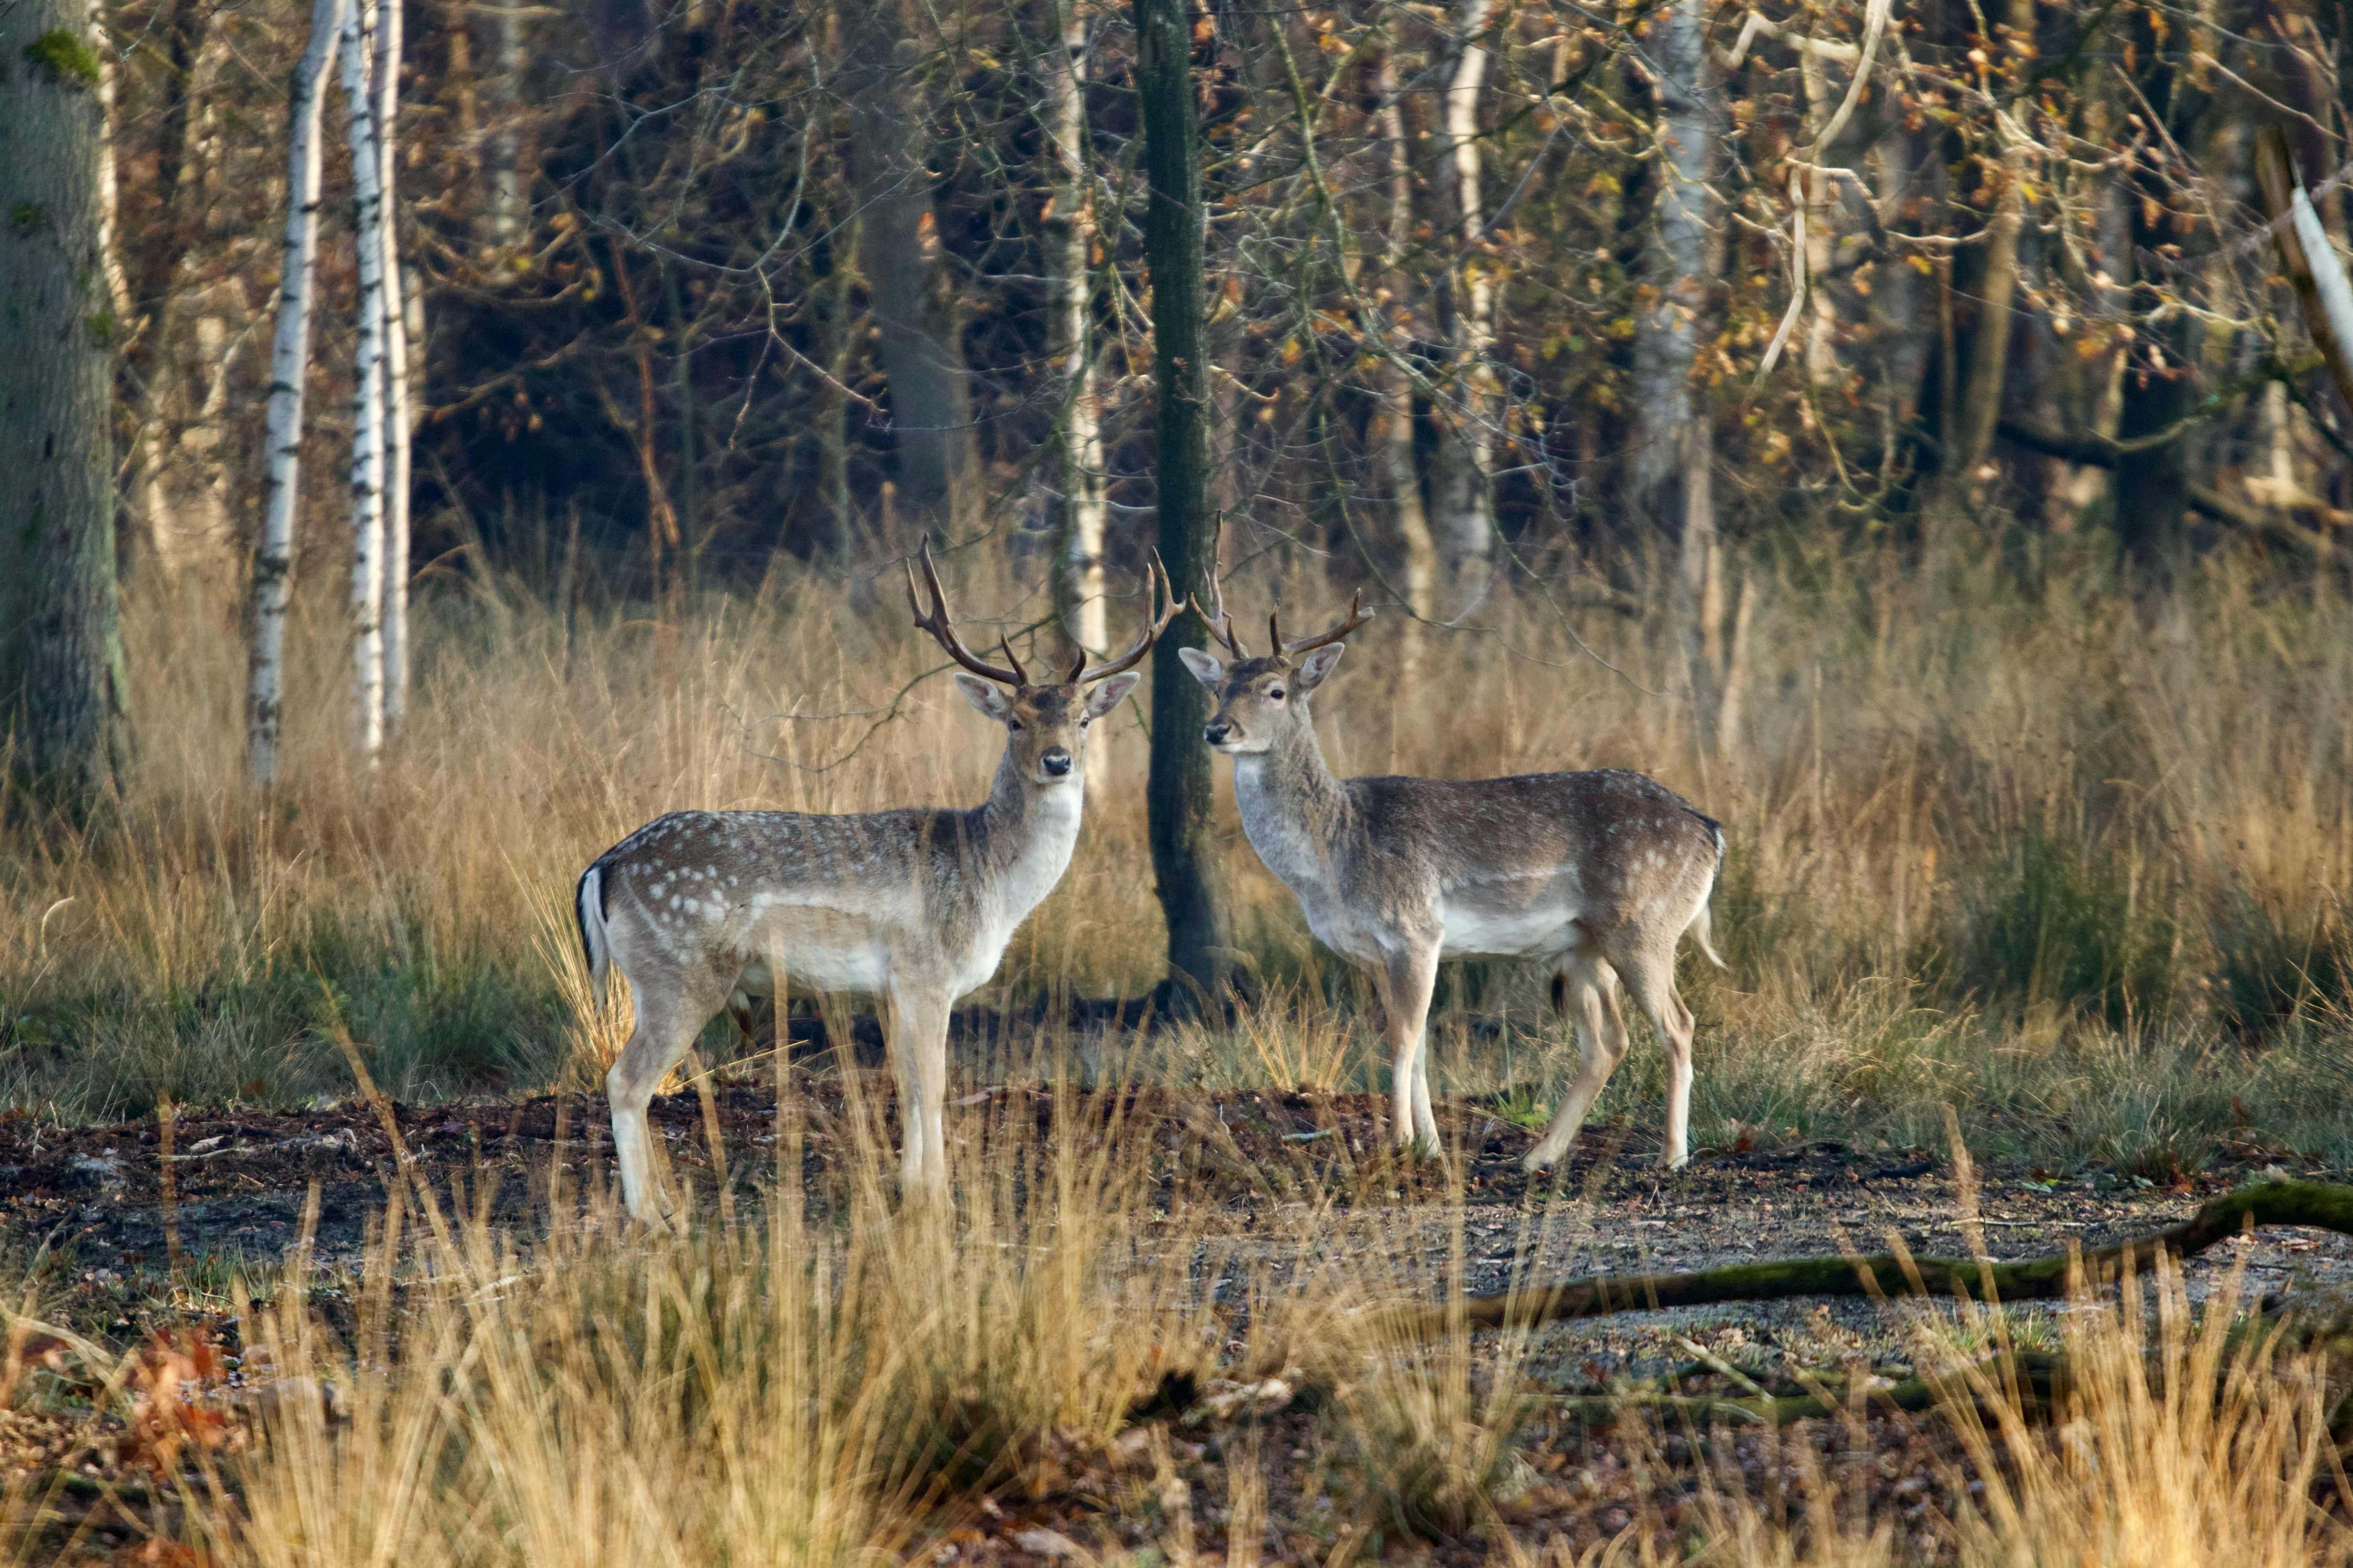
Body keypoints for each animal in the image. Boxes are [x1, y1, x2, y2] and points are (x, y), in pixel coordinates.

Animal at [576, 536, 1176, 1213]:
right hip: (681, 972)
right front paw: (938, 1199)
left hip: (655, 976)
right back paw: (650, 1215)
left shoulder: (889, 989)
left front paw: (910, 1188)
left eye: (1082, 719)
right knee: (627, 1081)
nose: (1058, 761)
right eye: (1015, 720)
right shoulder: (926, 971)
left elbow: (907, 1085)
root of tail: (604, 866)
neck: (991, 883)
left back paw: (663, 1204)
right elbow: (931, 1086)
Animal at [1186, 524, 1722, 1166]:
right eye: (1218, 687)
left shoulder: (1415, 928)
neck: (1332, 860)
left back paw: (1672, 1155)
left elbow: (1402, 1041)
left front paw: (1397, 1144)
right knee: (1607, 1040)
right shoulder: (1370, 950)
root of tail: (1708, 829)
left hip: (1644, 922)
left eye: (1274, 691)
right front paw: (1431, 1148)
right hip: (1581, 945)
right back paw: (1538, 1156)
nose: (1217, 729)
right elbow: (1415, 1045)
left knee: (1679, 1023)